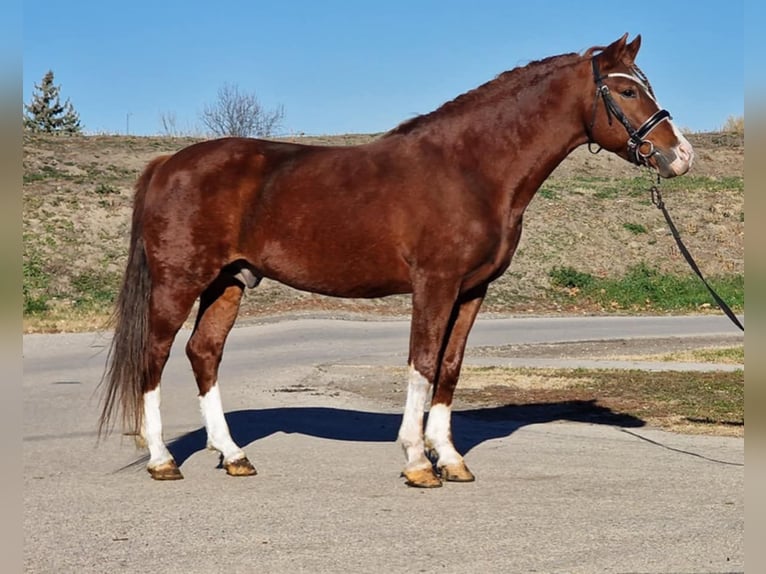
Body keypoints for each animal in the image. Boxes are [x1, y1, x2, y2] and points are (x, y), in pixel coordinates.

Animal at [99, 33, 693, 487]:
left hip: (228, 282)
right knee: (154, 355)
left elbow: (449, 368)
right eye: (625, 89)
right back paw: (162, 460)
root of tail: (168, 163)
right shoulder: (435, 284)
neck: (470, 169)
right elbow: (422, 364)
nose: (680, 155)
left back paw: (234, 454)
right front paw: (416, 462)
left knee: (204, 353)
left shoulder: (472, 290)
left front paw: (449, 458)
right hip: (179, 282)